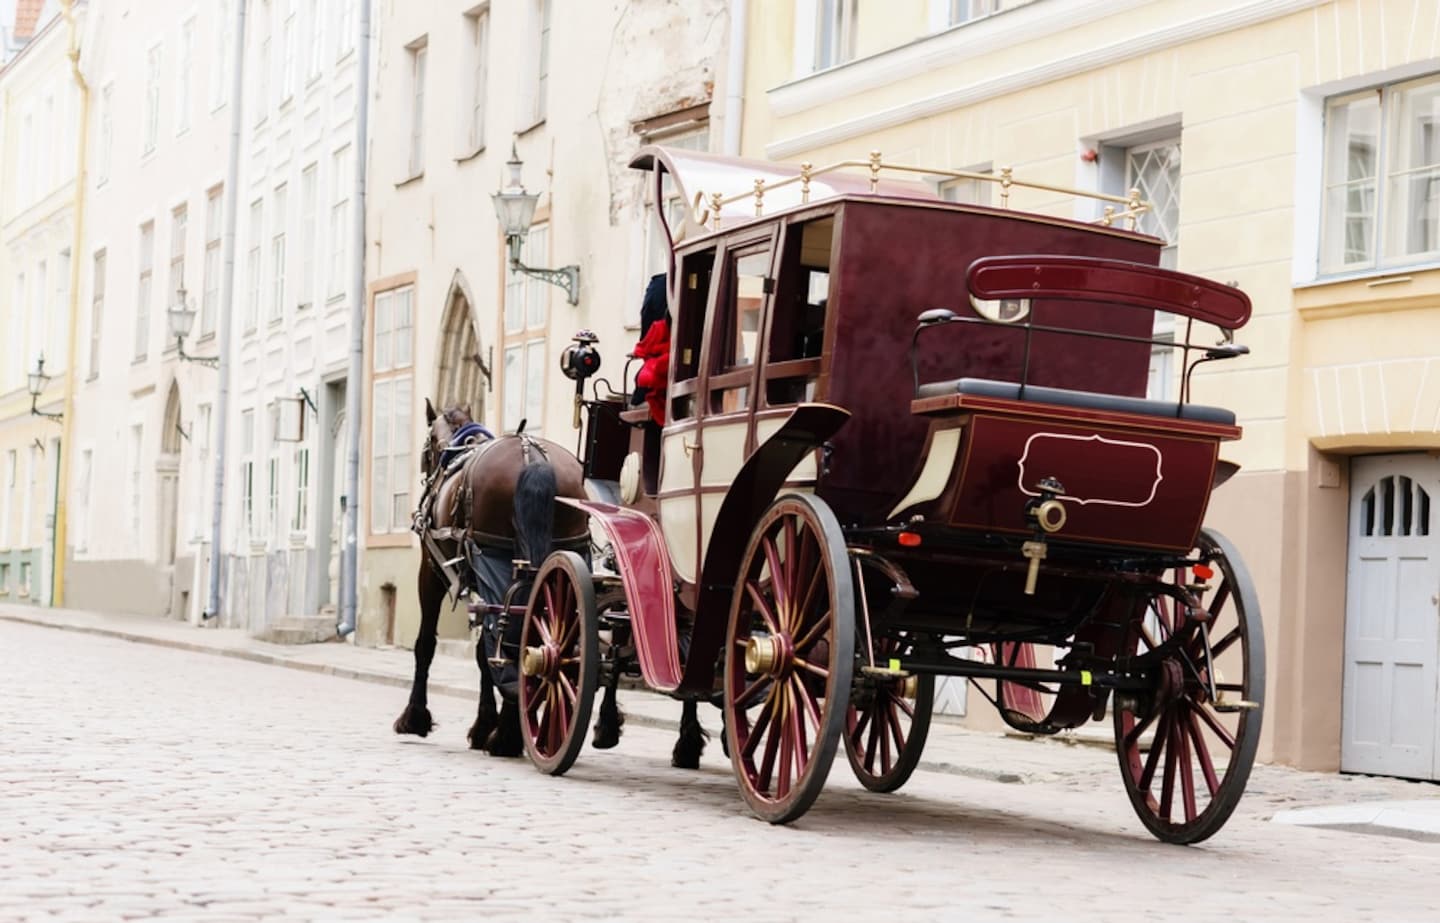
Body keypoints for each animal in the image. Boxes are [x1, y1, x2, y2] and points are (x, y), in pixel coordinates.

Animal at [391, 400, 587, 754]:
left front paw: (416, 718)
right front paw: (488, 725)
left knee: (517, 636)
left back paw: (507, 734)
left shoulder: (431, 571)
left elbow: (427, 644)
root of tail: (532, 456)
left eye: (426, 446)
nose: (426, 475)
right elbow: (485, 653)